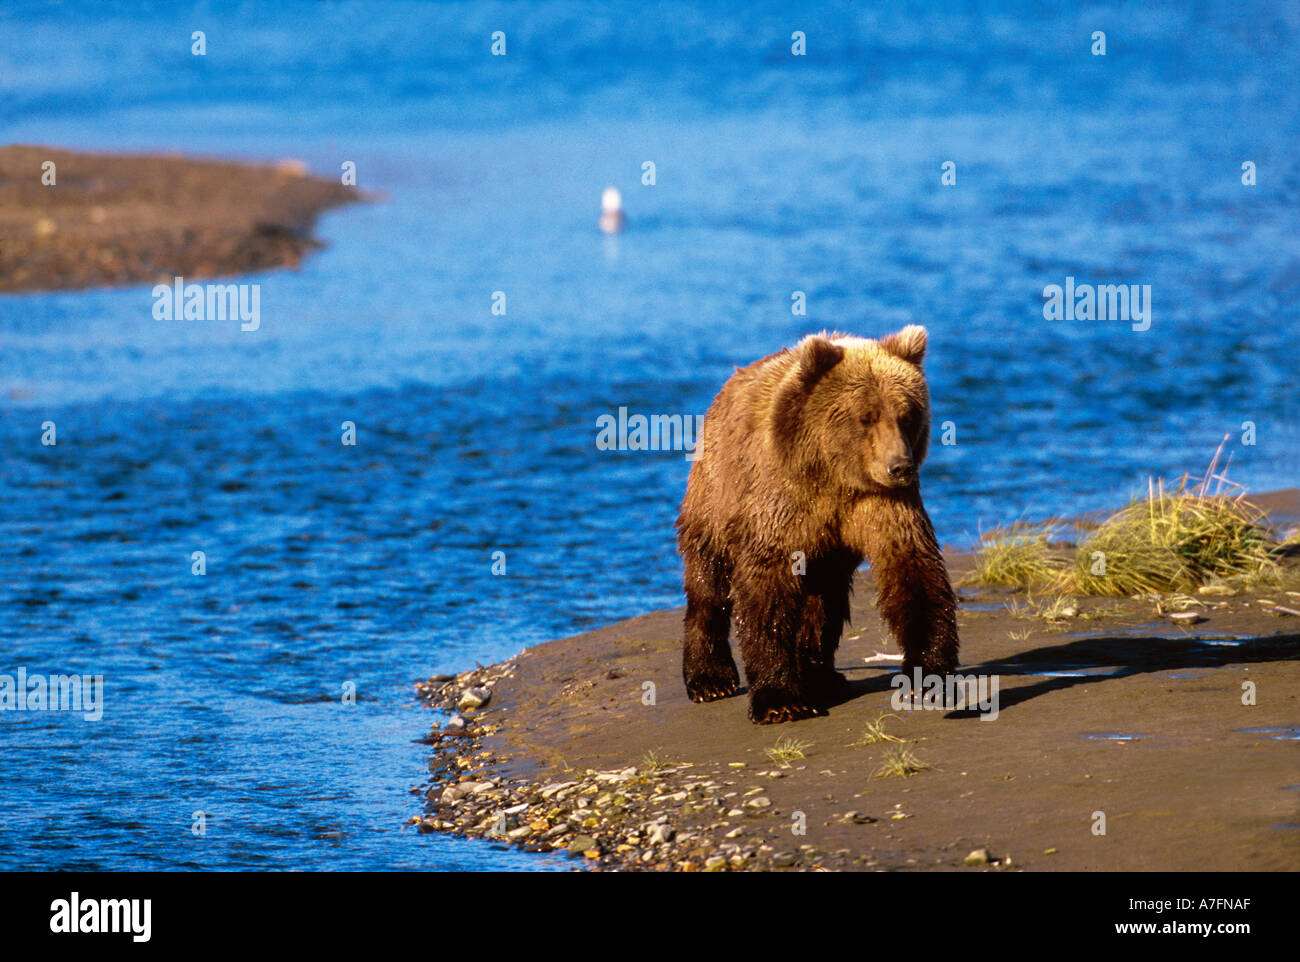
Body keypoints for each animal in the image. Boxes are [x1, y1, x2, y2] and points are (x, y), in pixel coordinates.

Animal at [676, 326, 961, 722]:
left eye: (906, 415)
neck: (834, 476)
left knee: (824, 601)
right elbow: (767, 585)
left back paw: (821, 676)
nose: (900, 467)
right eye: (866, 417)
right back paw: (709, 678)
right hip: (714, 494)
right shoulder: (783, 499)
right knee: (709, 580)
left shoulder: (881, 504)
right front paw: (780, 699)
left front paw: (930, 677)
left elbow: (912, 567)